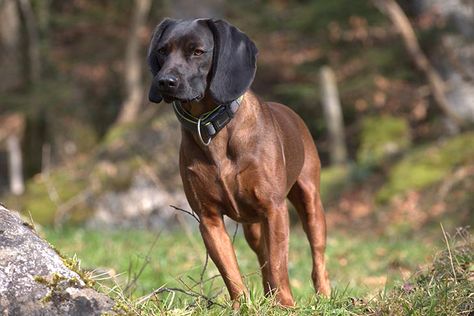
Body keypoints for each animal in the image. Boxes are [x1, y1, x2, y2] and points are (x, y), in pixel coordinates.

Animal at [147, 18, 330, 308]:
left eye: (198, 51)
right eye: (162, 51)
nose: (165, 81)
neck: (212, 127)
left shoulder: (274, 210)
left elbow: (279, 264)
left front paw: (286, 305)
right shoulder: (209, 219)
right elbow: (231, 272)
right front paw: (241, 306)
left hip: (310, 202)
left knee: (317, 255)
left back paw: (322, 295)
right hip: (252, 227)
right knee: (262, 256)